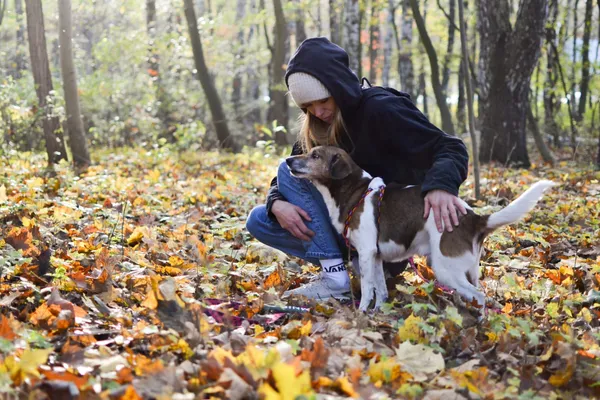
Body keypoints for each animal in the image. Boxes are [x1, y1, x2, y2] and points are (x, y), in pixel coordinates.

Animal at [284, 145, 556, 310]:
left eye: (315, 156)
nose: (287, 159)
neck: (355, 192)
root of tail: (473, 217)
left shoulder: (366, 253)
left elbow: (369, 288)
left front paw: (361, 313)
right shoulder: (377, 256)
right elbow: (381, 290)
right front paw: (379, 312)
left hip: (444, 268)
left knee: (479, 296)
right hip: (467, 270)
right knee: (478, 292)